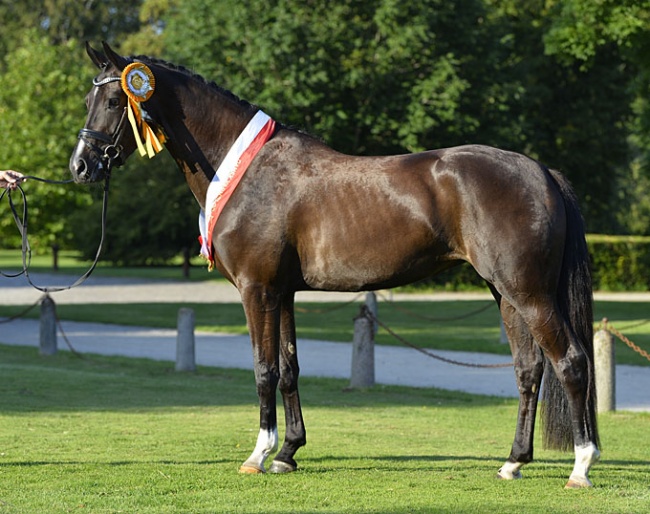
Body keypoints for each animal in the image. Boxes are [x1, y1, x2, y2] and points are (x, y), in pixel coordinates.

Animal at [69, 43, 596, 484]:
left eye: (114, 101)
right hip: (505, 292)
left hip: (528, 292)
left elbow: (263, 369)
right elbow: (288, 369)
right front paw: (288, 453)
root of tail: (540, 171)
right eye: (90, 100)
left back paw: (581, 466)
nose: (81, 166)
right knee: (529, 369)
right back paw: (513, 463)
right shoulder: (282, 292)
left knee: (570, 362)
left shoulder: (256, 289)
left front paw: (259, 455)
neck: (249, 171)